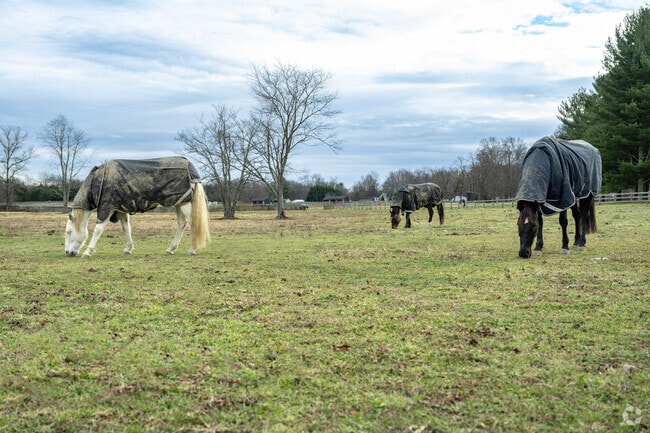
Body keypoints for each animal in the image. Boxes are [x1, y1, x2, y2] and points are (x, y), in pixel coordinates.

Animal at [65, 157, 210, 257]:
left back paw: (192, 249)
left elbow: (97, 230)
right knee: (182, 224)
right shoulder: (120, 208)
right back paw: (170, 249)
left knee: (194, 224)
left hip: (185, 204)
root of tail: (189, 166)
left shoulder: (106, 208)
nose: (68, 252)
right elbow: (126, 228)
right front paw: (128, 249)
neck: (98, 180)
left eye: (69, 232)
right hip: (179, 203)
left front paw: (88, 252)